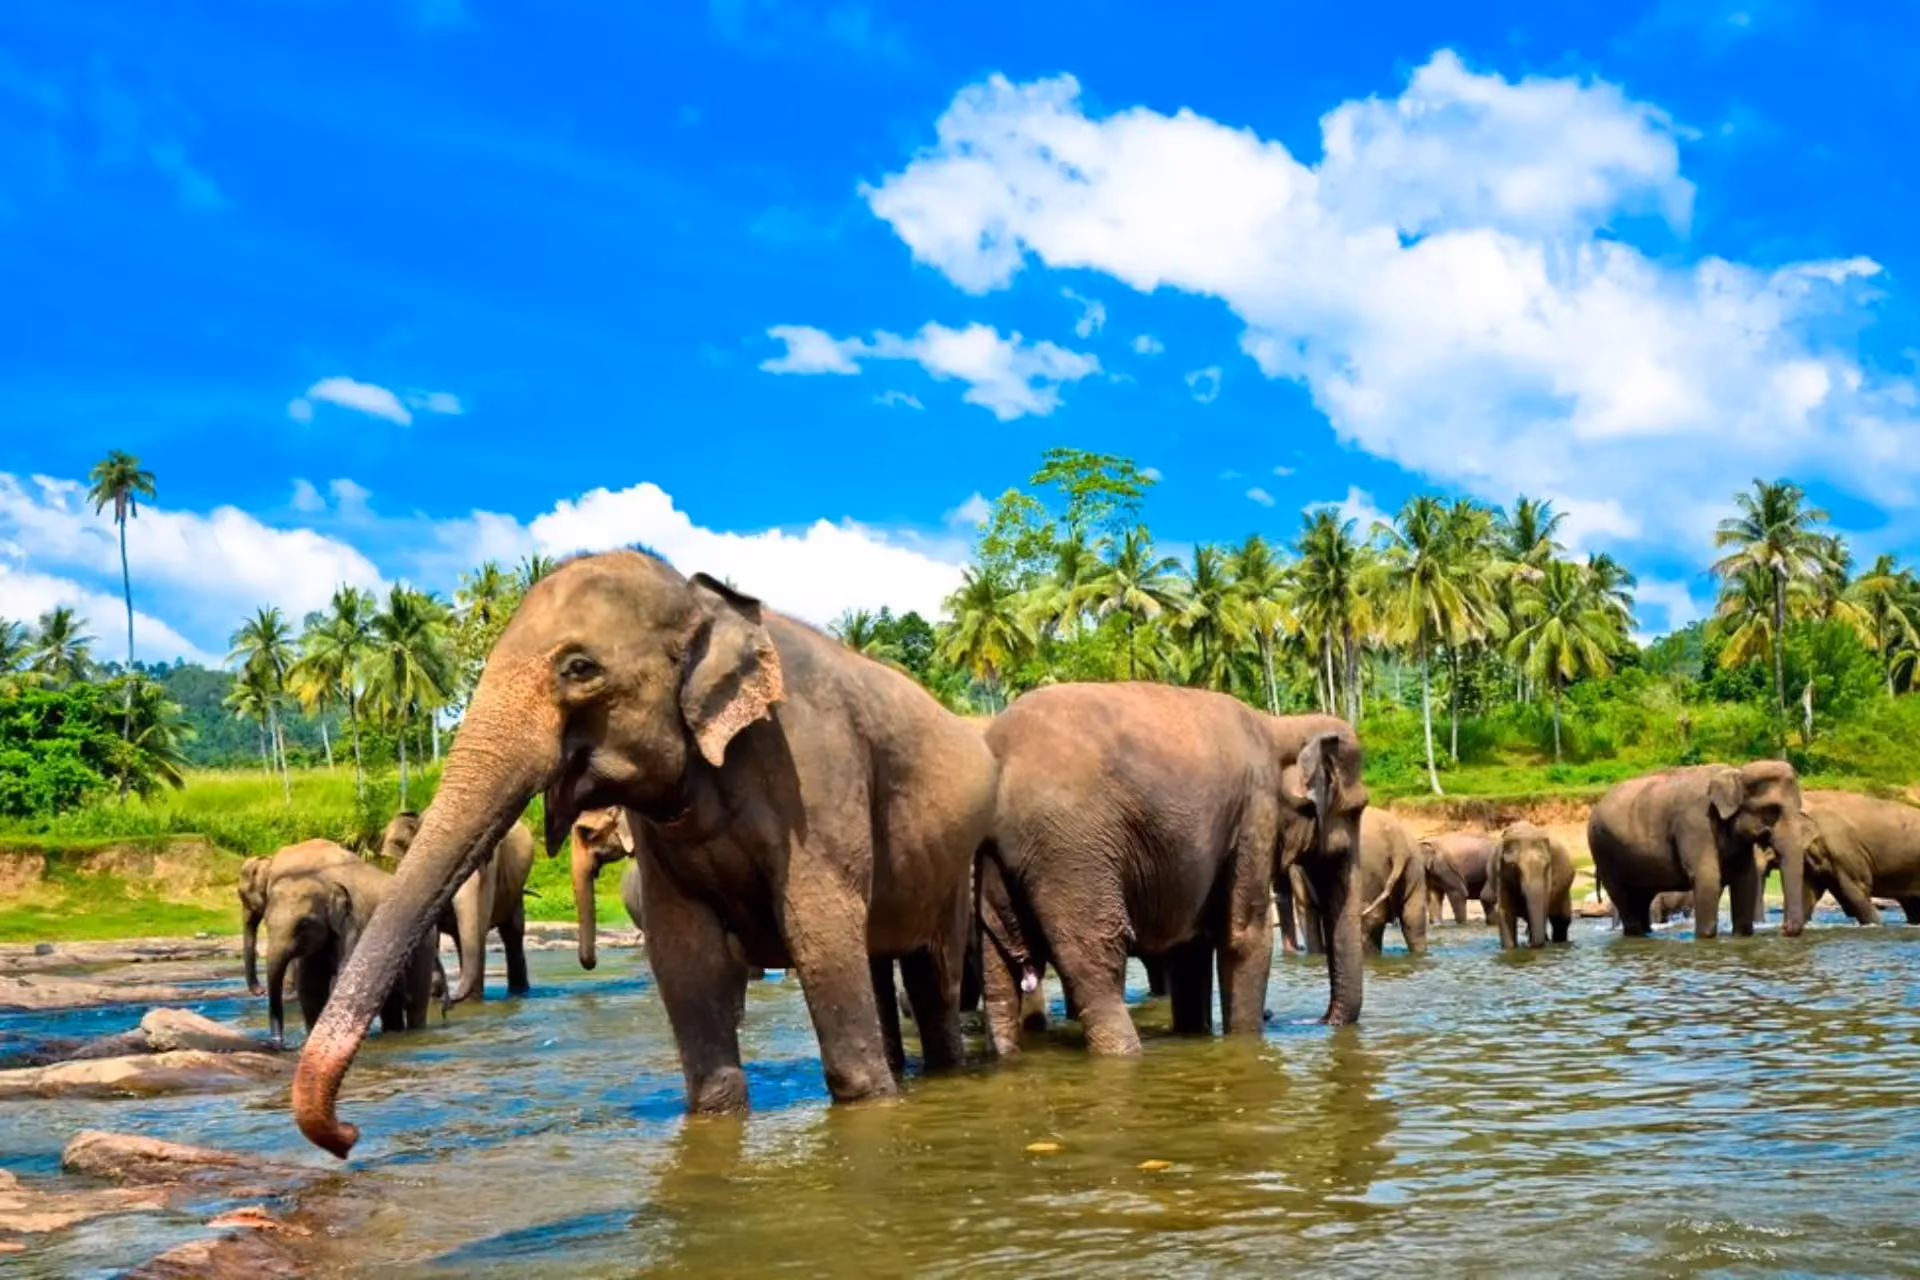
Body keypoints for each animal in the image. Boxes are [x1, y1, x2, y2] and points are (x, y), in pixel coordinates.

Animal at [261, 861, 437, 1046]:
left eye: (304, 924)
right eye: (266, 922)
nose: (277, 1042)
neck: (323, 880)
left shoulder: (355, 923)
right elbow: (310, 989)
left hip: (425, 943)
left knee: (415, 1004)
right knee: (392, 1006)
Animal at [382, 810, 535, 1002]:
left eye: (483, 860)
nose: (451, 996)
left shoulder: (491, 872)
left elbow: (479, 929)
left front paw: (471, 1001)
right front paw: (432, 996)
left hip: (515, 895)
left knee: (512, 935)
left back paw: (518, 993)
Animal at [978, 685, 1366, 1058]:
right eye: (1357, 810)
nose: (1315, 1020)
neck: (1279, 725)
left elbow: (1190, 946)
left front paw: (1196, 1035)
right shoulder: (1254, 812)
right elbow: (1244, 937)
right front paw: (1245, 1043)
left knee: (999, 971)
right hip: (1071, 854)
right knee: (1096, 964)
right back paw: (1125, 1053)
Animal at [1488, 821, 1574, 950]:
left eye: (1547, 865)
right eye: (1514, 866)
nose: (1529, 945)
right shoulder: (1501, 873)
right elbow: (1505, 912)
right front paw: (1511, 949)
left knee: (1562, 922)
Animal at [1587, 761, 1814, 938]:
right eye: (1772, 811)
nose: (1785, 929)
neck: (1735, 773)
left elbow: (1746, 879)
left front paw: (1742, 935)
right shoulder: (1695, 823)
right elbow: (1707, 877)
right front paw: (1705, 938)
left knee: (1642, 898)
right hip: (1603, 851)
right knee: (1623, 896)